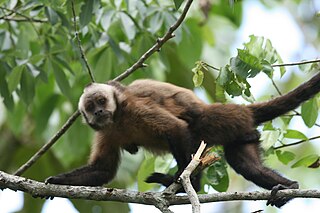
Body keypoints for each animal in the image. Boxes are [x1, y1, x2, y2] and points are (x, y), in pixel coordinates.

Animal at [45, 72, 320, 208]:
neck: (119, 118)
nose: (100, 111)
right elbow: (103, 170)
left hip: (220, 120)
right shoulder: (105, 131)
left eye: (102, 101)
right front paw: (54, 182)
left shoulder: (135, 108)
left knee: (195, 125)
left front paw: (188, 182)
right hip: (238, 130)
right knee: (245, 163)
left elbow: (175, 129)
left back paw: (186, 183)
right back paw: (290, 187)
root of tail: (241, 112)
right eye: (91, 107)